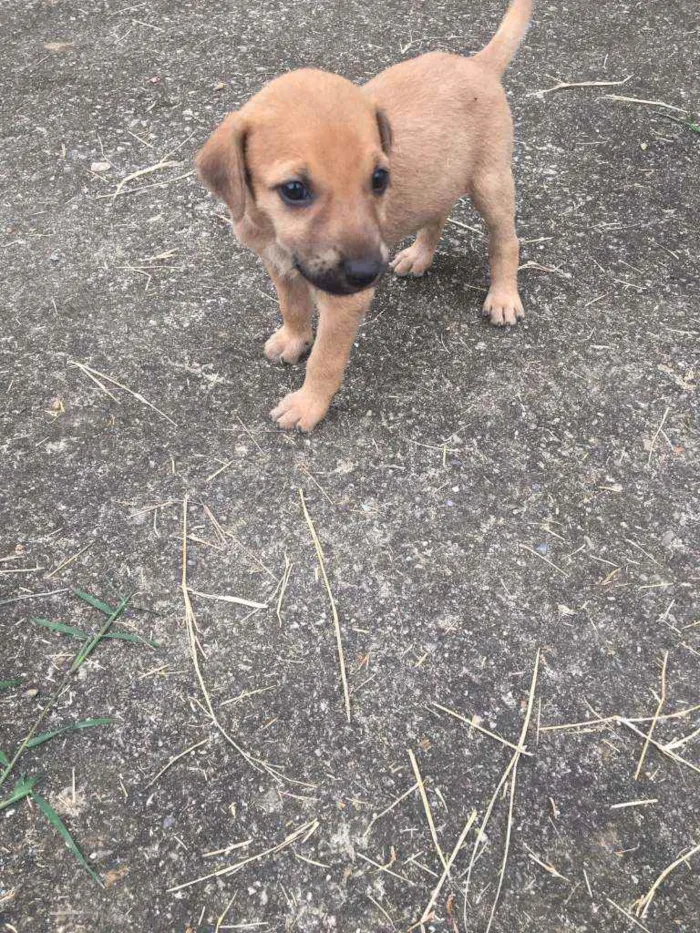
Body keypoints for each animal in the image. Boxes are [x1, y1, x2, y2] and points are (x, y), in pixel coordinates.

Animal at [196, 0, 532, 430]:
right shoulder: (278, 266)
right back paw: (418, 256)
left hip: (491, 182)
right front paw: (293, 339)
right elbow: (293, 307)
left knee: (506, 241)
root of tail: (478, 65)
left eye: (378, 178)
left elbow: (325, 359)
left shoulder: (345, 301)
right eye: (294, 190)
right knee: (437, 216)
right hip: (441, 179)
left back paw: (503, 296)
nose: (368, 272)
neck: (276, 234)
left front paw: (308, 404)